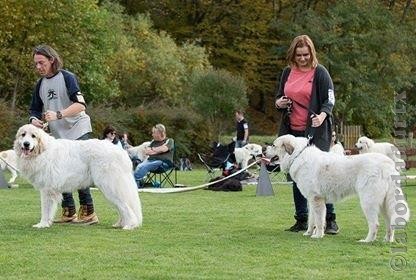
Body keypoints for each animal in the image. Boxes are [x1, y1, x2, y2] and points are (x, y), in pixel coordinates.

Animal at [14, 124, 143, 230]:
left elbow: (45, 210)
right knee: (122, 207)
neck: (43, 150)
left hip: (110, 186)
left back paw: (130, 225)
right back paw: (120, 223)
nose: (26, 144)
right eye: (23, 135)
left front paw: (43, 224)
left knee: (125, 207)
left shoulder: (47, 190)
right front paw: (47, 223)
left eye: (33, 136)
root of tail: (121, 152)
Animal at [266, 135, 410, 242]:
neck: (297, 156)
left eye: (273, 145)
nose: (263, 151)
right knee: (390, 223)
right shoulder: (311, 200)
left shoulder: (316, 199)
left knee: (375, 224)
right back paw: (387, 240)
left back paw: (367, 240)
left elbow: (319, 220)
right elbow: (311, 219)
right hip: (384, 203)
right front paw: (308, 233)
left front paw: (317, 235)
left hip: (368, 201)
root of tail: (388, 164)